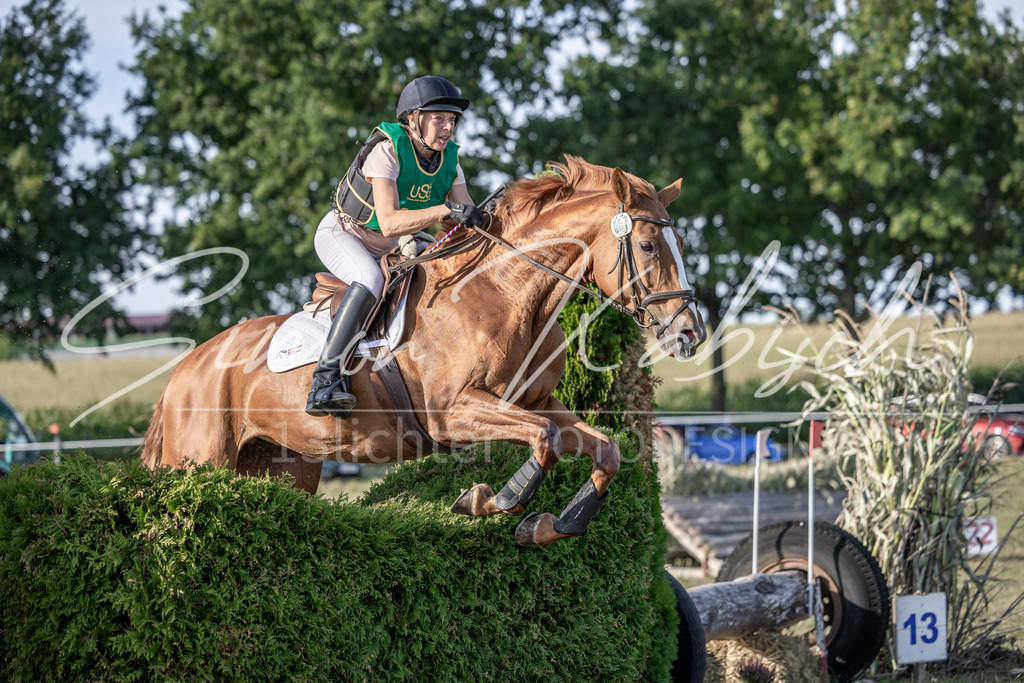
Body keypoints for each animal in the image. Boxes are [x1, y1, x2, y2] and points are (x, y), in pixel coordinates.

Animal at [142, 155, 707, 546]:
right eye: (649, 247)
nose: (690, 335)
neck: (504, 292)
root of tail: (185, 368)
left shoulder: (537, 403)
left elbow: (605, 450)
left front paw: (548, 527)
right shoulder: (453, 413)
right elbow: (543, 441)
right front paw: (487, 500)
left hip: (283, 467)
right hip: (200, 460)